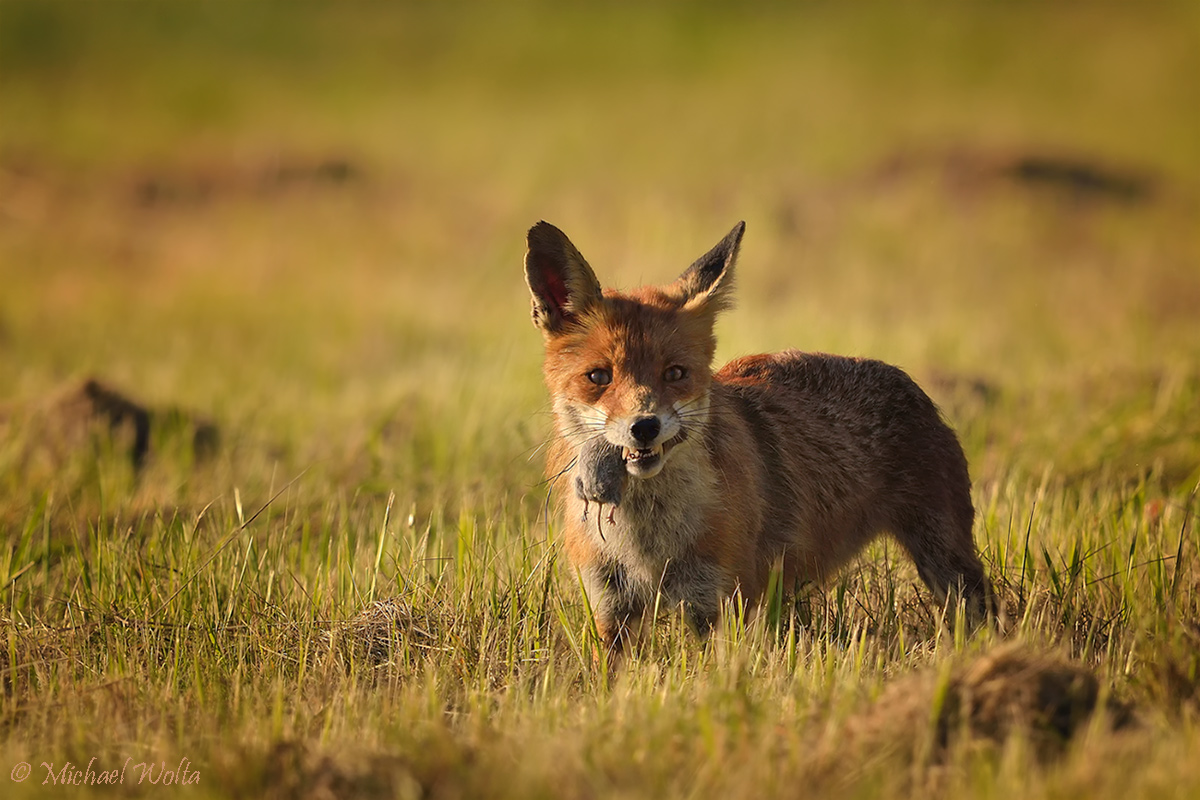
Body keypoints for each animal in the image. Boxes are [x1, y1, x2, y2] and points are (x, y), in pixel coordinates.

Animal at [528, 220, 993, 657]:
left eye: (675, 373)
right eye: (598, 377)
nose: (644, 426)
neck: (647, 545)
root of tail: (903, 377)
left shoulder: (720, 605)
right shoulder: (611, 610)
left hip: (947, 562)